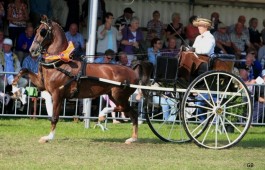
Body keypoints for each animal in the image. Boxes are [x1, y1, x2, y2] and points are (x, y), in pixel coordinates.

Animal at [12, 16, 152, 143]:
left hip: (119, 95)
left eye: (43, 31)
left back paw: (103, 115)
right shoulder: (42, 85)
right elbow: (23, 70)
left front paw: (49, 137)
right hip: (112, 95)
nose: (32, 50)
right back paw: (132, 138)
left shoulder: (57, 94)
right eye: (36, 30)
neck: (58, 62)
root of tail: (132, 70)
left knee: (128, 110)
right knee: (130, 112)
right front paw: (16, 90)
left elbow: (55, 117)